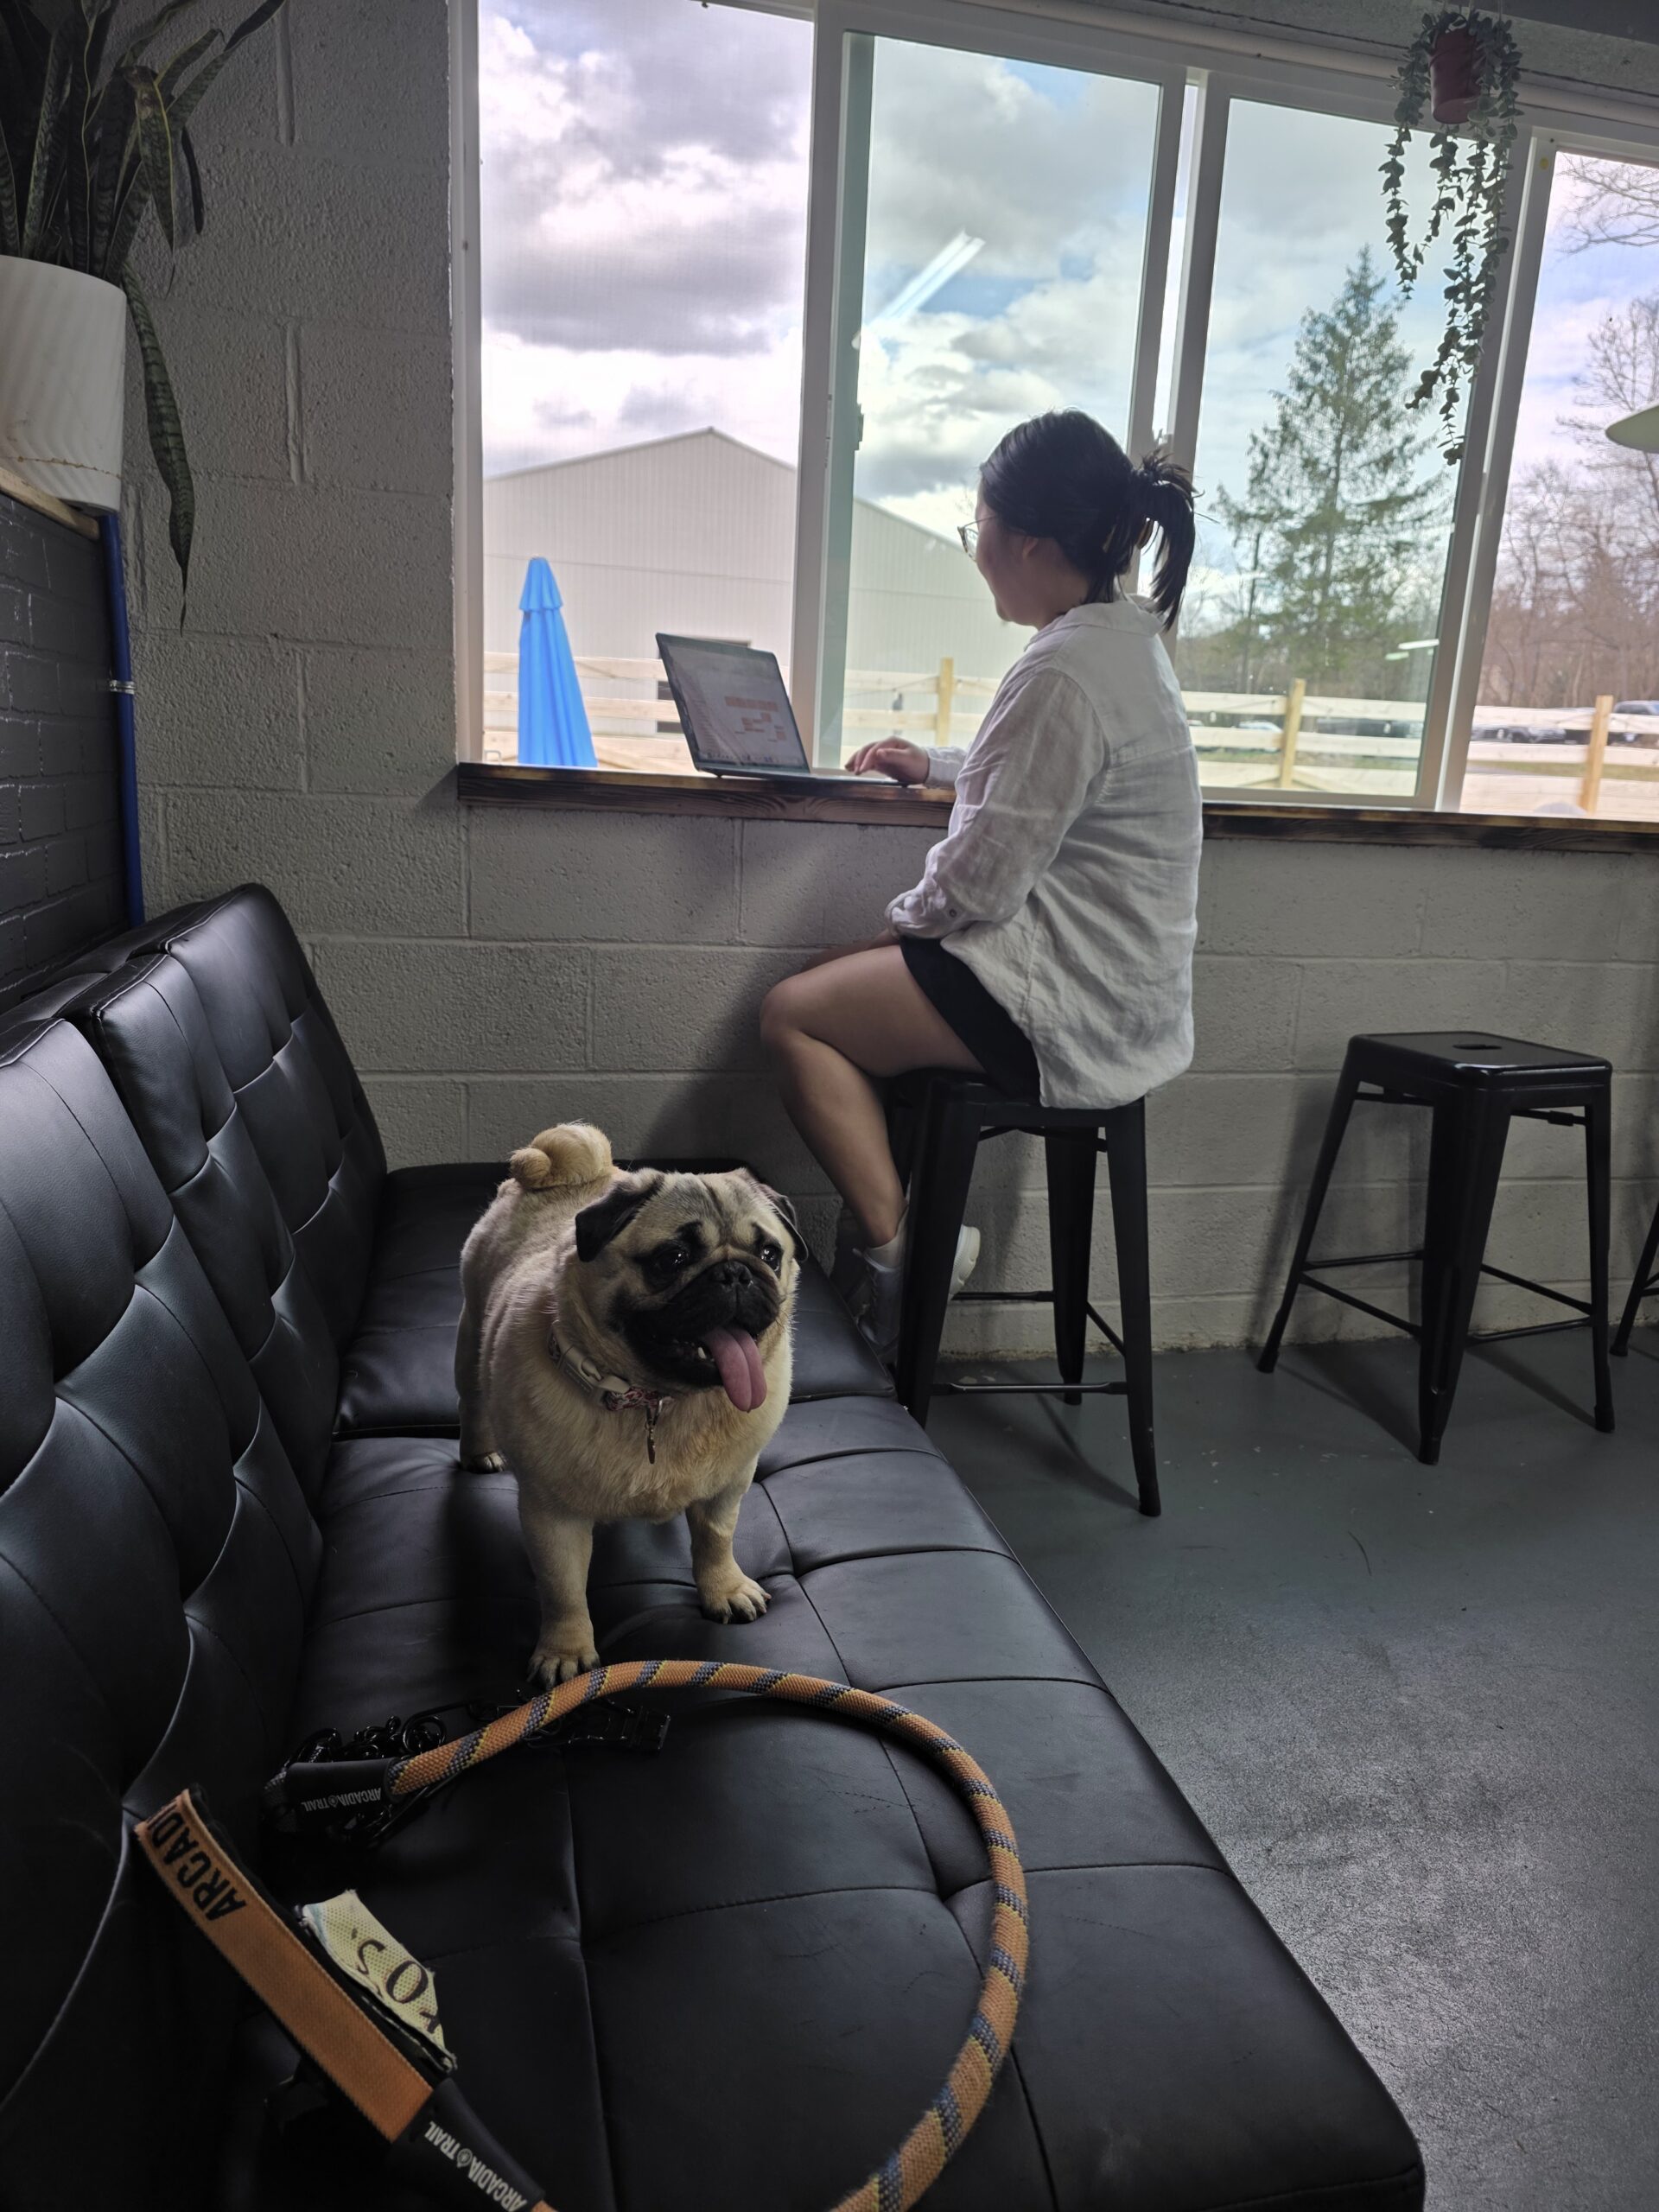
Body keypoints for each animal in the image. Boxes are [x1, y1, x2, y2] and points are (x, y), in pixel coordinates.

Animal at [456, 1124, 801, 1688]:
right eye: (672, 1260)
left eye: (770, 1254)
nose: (736, 1273)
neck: (659, 1400)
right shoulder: (552, 1515)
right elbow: (562, 1589)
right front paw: (567, 1650)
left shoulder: (728, 1485)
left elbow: (715, 1540)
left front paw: (724, 1589)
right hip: (468, 1338)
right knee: (471, 1400)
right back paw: (478, 1450)